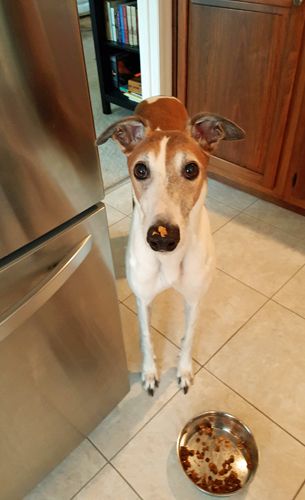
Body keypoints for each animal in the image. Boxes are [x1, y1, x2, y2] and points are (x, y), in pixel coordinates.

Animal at [96, 96, 243, 394]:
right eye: (140, 169)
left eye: (191, 169)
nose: (162, 238)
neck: (170, 261)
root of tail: (160, 97)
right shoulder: (143, 299)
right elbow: (146, 337)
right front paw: (150, 373)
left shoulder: (195, 299)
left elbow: (188, 337)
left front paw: (184, 371)